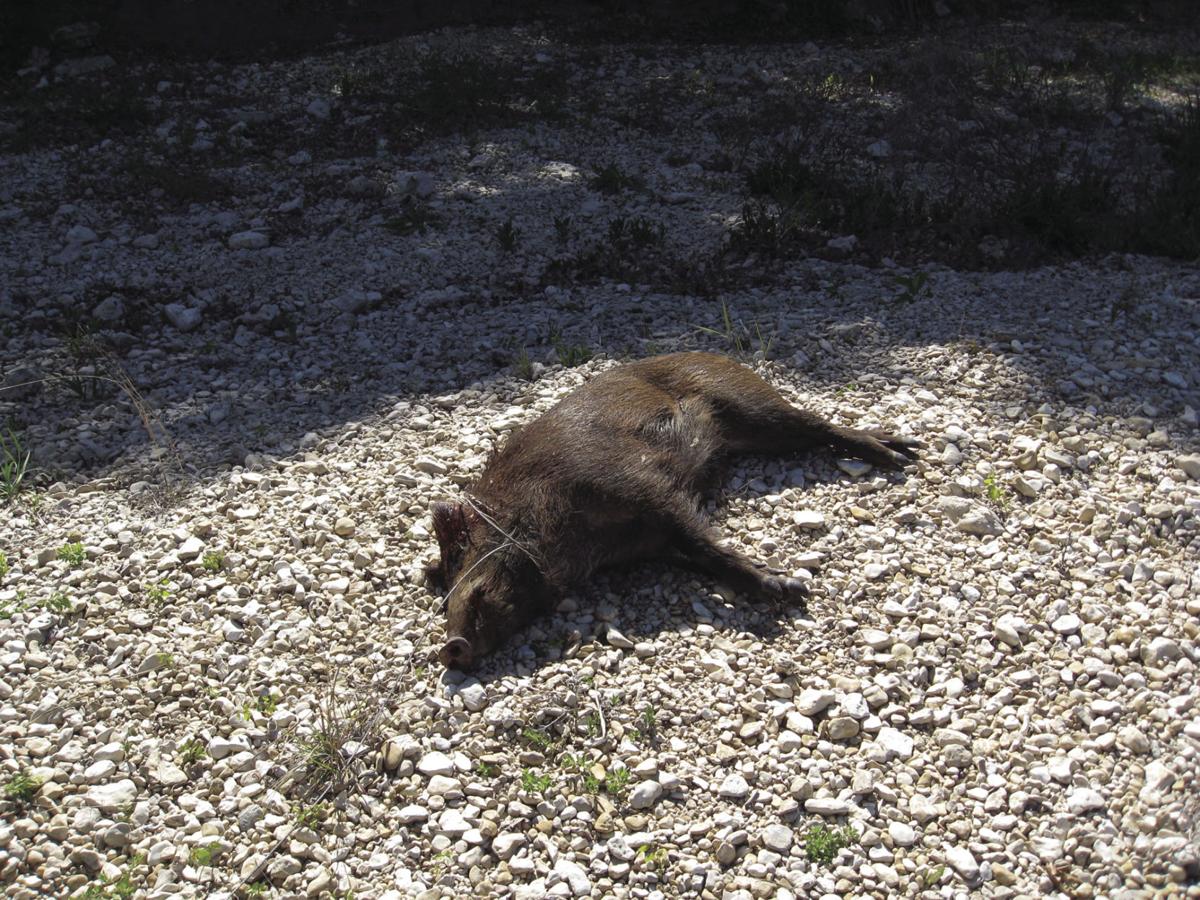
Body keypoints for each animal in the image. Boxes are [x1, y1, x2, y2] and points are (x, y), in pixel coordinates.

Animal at [428, 352, 919, 669]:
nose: (449, 647)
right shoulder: (654, 543)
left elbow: (704, 541)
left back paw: (902, 456)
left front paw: (792, 589)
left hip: (751, 404)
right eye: (444, 584)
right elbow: (700, 555)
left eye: (458, 553)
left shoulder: (643, 486)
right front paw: (781, 584)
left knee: (821, 425)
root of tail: (719, 355)